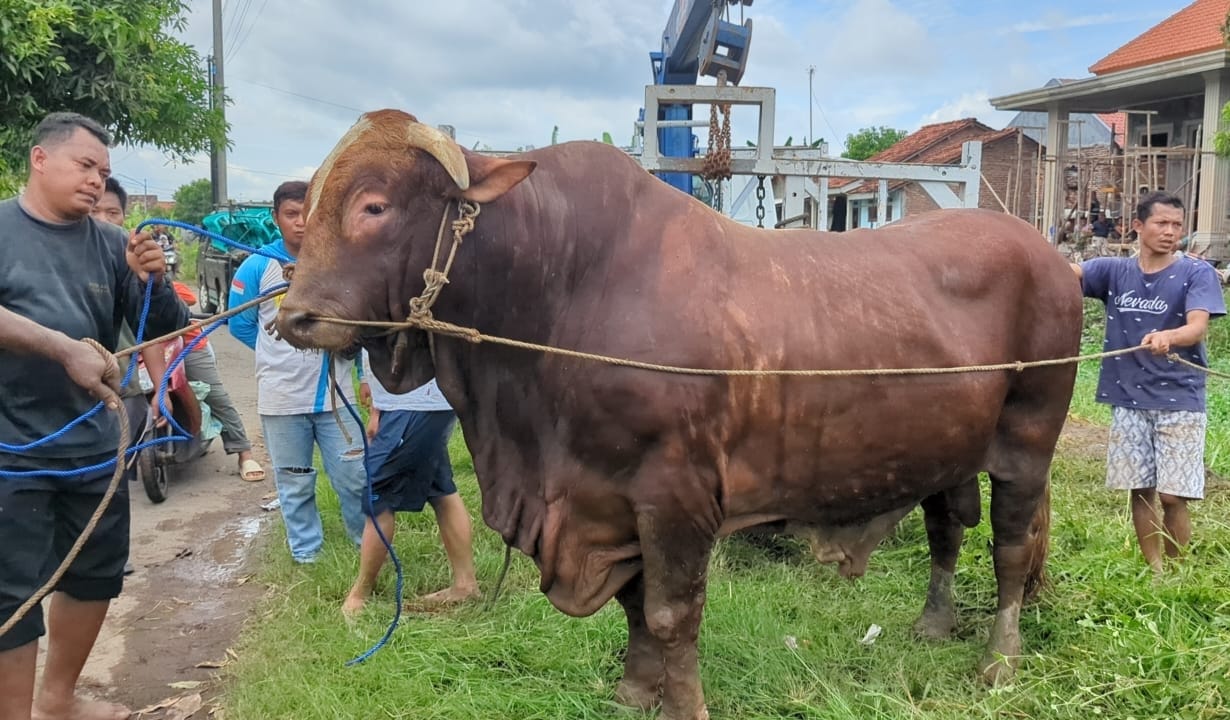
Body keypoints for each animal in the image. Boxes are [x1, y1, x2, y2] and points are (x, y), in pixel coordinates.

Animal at [276, 108, 1077, 718]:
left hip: (1027, 441)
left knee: (1010, 549)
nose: (294, 317)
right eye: (308, 208)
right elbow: (633, 606)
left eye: (374, 205)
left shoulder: (675, 494)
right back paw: (933, 624)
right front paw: (634, 691)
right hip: (946, 447)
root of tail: (1045, 252)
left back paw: (1000, 658)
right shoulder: (607, 499)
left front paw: (682, 705)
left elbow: (669, 613)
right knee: (946, 529)